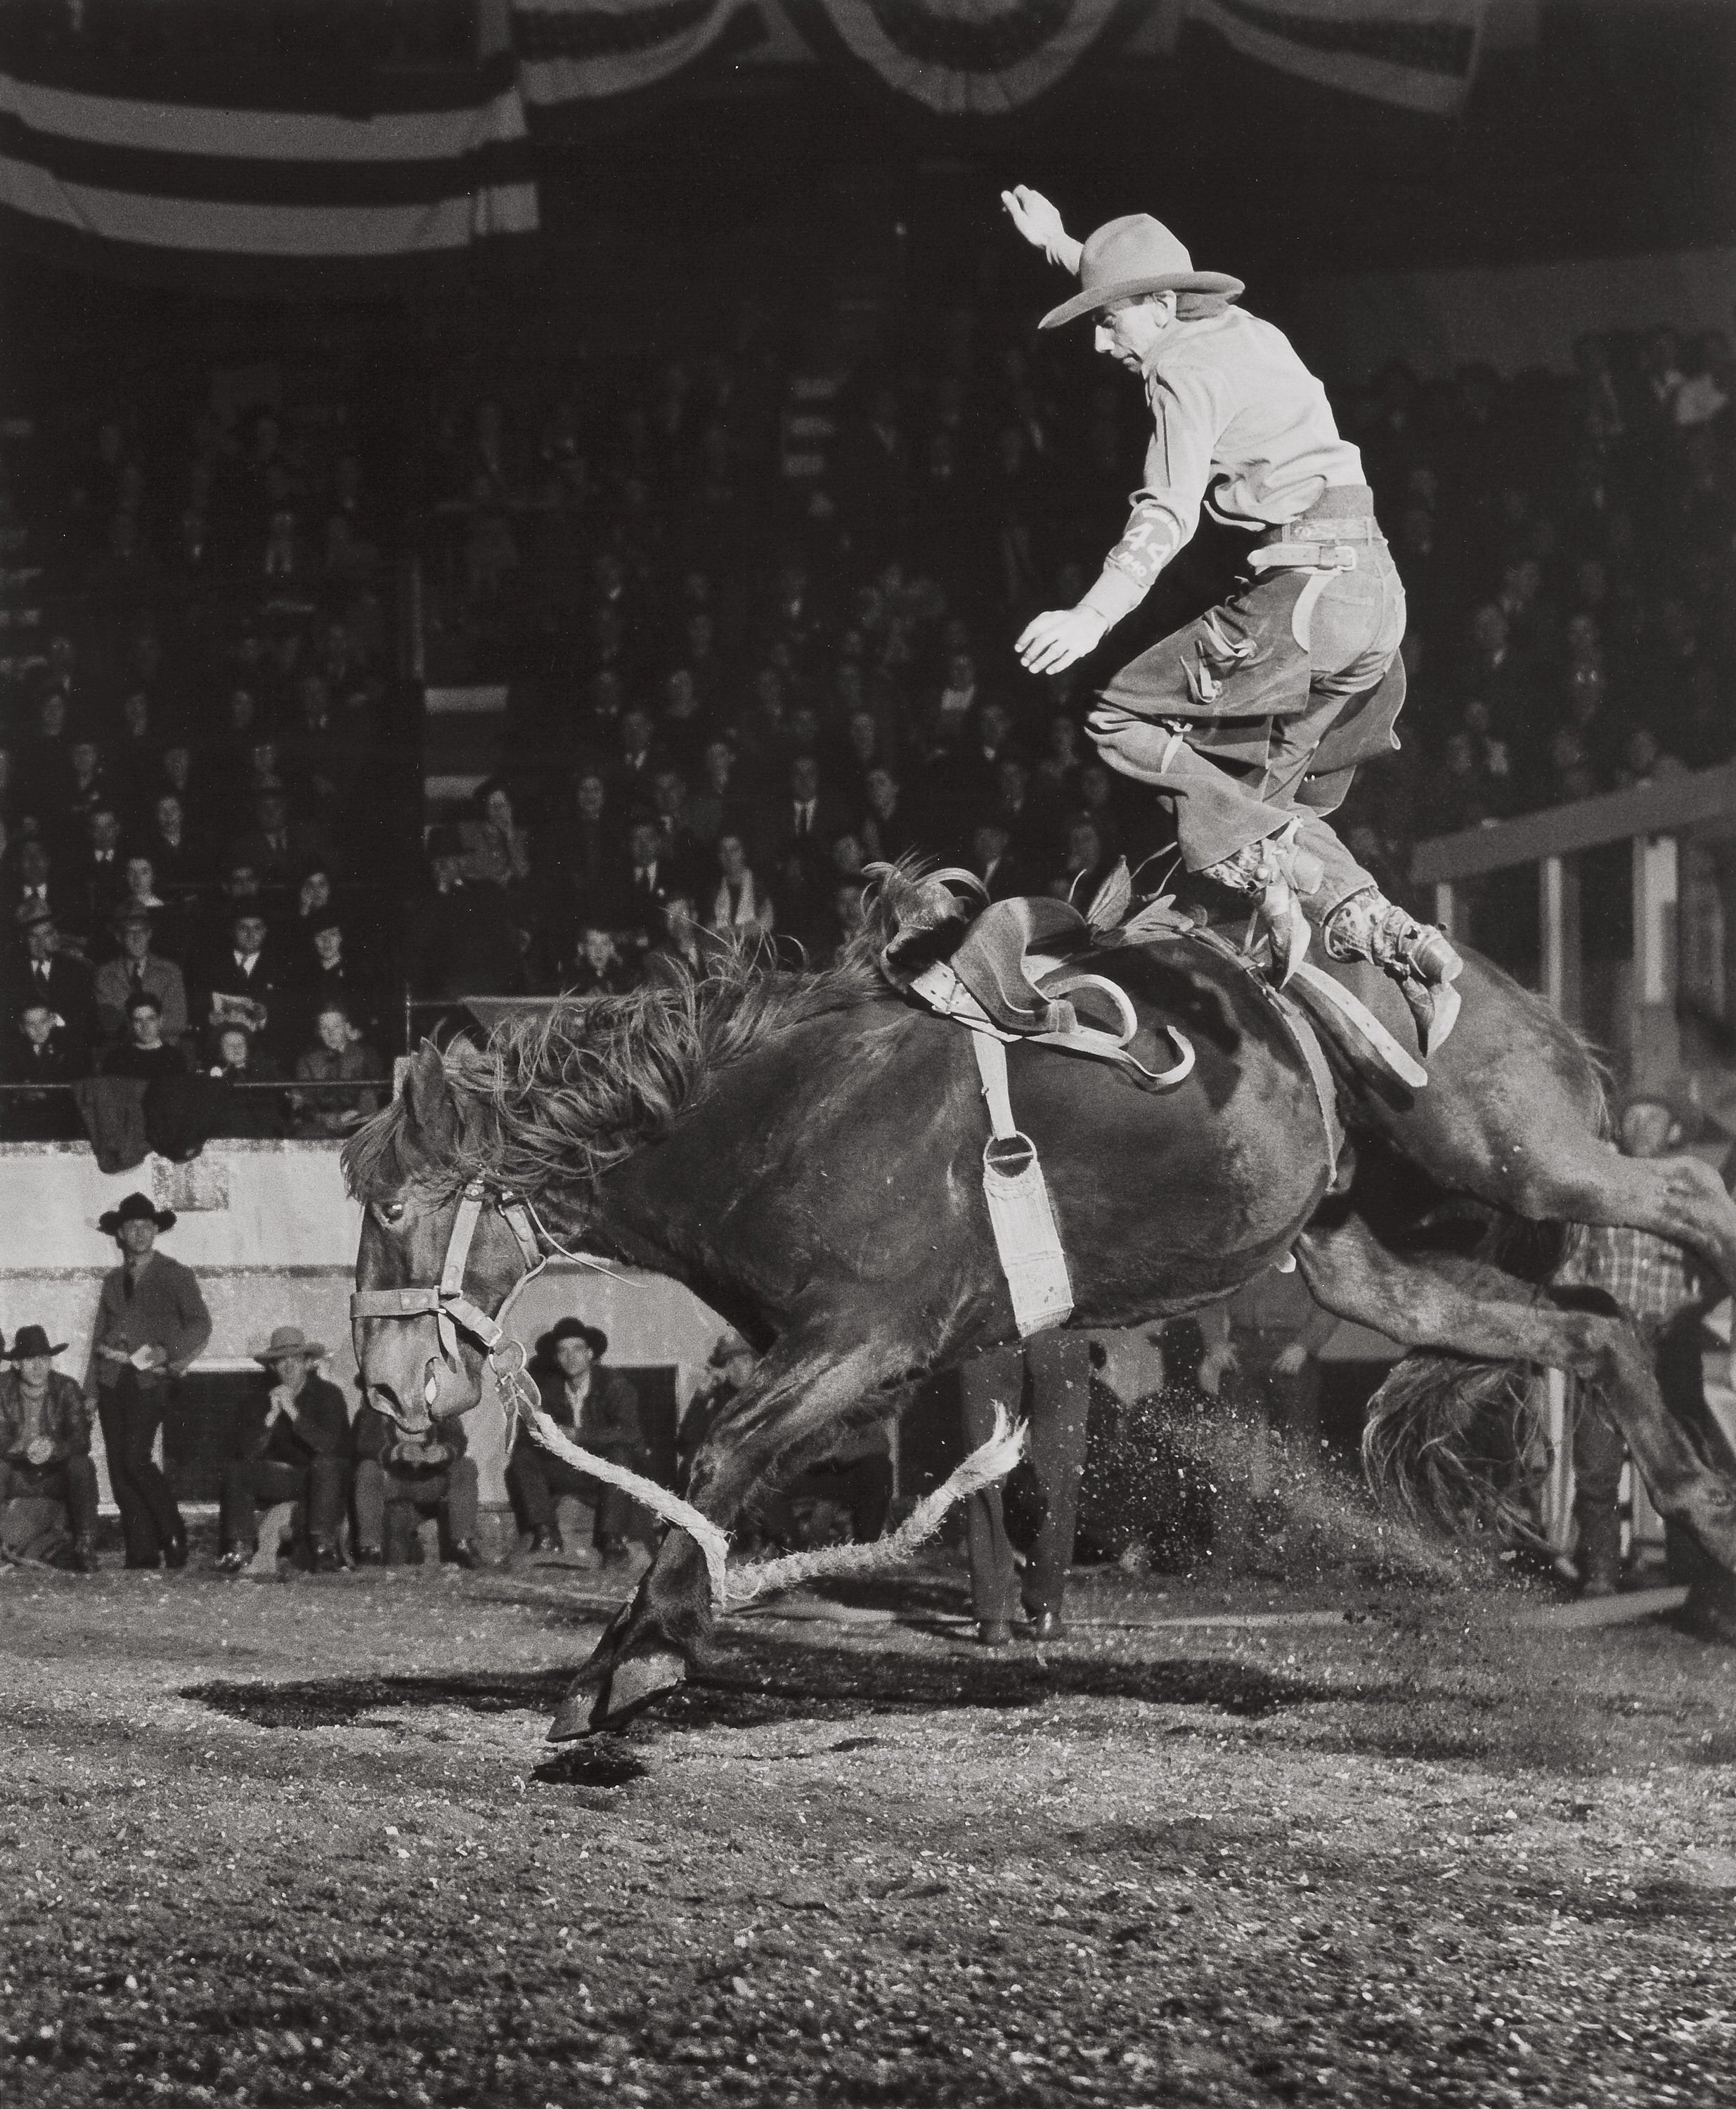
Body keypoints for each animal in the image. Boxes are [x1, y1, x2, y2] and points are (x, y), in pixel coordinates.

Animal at [346, 865, 1736, 1738]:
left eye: (396, 1207)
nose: (384, 1387)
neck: (777, 1111)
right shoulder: (847, 1362)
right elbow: (718, 1469)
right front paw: (618, 1658)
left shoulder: (866, 1341)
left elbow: (718, 1449)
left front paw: (647, 1655)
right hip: (1372, 1262)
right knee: (1591, 1329)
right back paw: (1700, 1494)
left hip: (1518, 1149)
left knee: (1684, 1197)